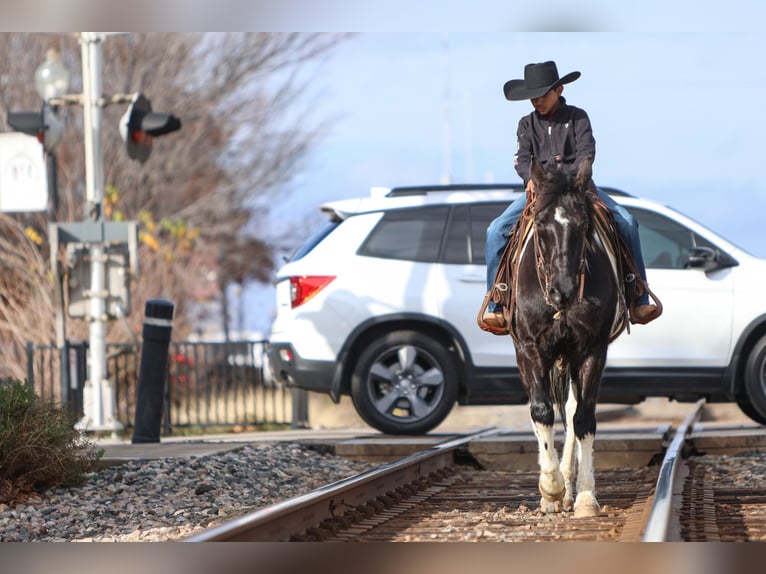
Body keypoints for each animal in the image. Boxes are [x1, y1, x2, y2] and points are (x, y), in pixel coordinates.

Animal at [510, 155, 624, 520]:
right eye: (541, 224)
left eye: (582, 224)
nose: (563, 291)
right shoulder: (529, 348)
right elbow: (541, 411)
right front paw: (550, 488)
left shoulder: (591, 350)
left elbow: (583, 418)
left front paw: (586, 496)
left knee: (574, 411)